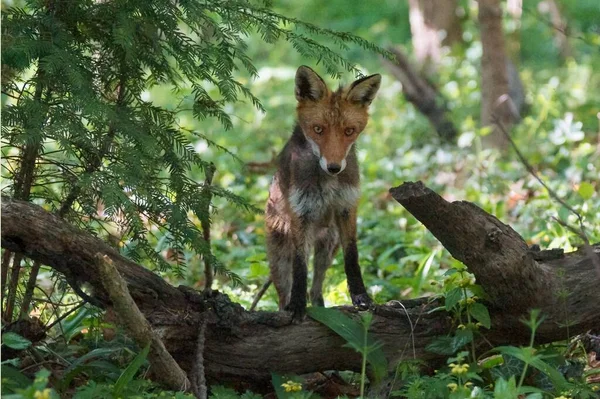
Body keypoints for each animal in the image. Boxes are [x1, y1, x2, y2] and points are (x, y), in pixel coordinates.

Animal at [266, 65, 382, 322]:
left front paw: (361, 298)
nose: (334, 167)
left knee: (316, 288)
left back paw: (321, 309)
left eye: (349, 131)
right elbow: (300, 267)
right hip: (280, 255)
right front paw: (297, 306)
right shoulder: (301, 214)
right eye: (318, 129)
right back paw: (289, 306)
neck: (328, 184)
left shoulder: (346, 207)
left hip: (328, 247)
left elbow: (352, 258)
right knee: (284, 293)